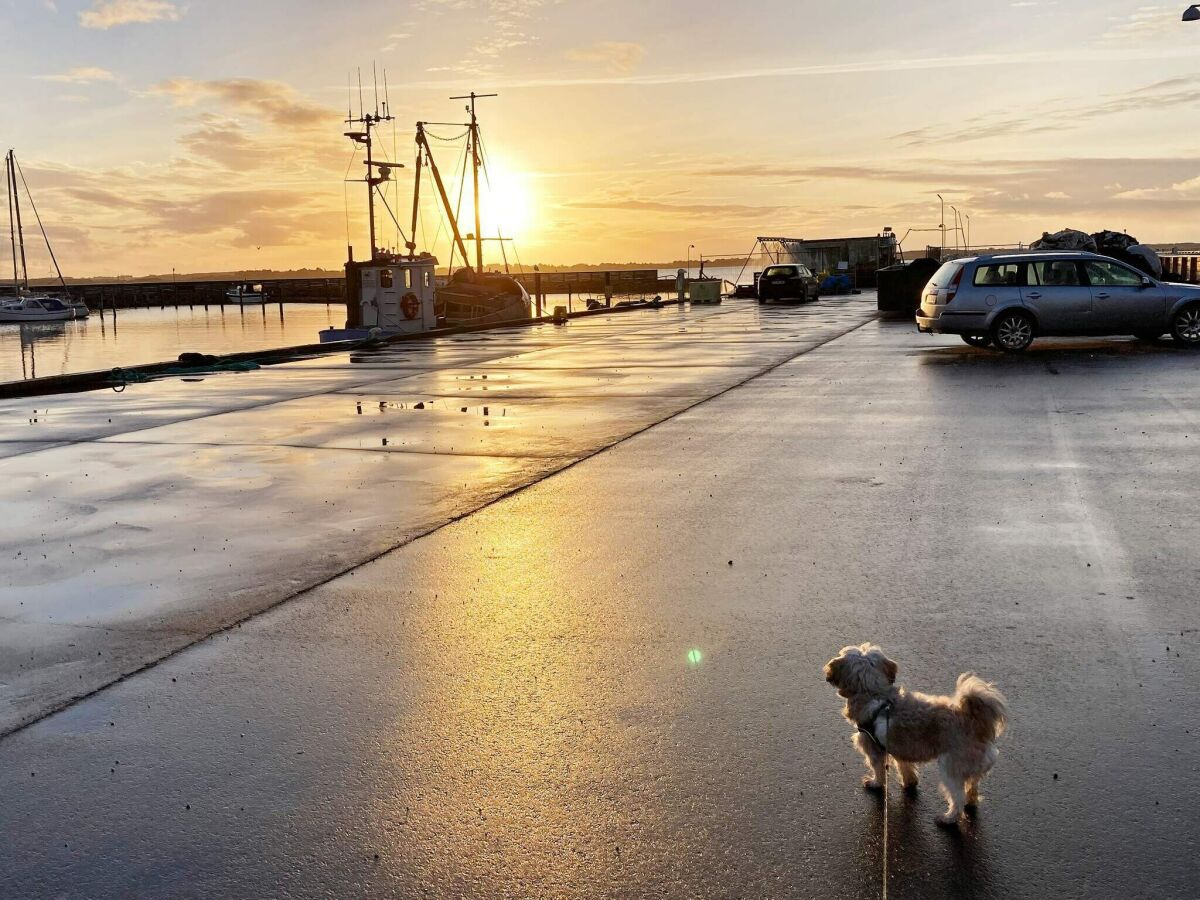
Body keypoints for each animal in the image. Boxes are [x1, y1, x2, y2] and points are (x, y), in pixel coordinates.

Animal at [820, 643, 1008, 830]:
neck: (876, 694)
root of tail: (976, 723)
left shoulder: (873, 749)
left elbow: (878, 770)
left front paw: (875, 783)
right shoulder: (900, 749)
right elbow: (905, 768)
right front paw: (909, 782)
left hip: (951, 768)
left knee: (957, 798)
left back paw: (948, 818)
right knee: (972, 787)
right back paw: (971, 801)